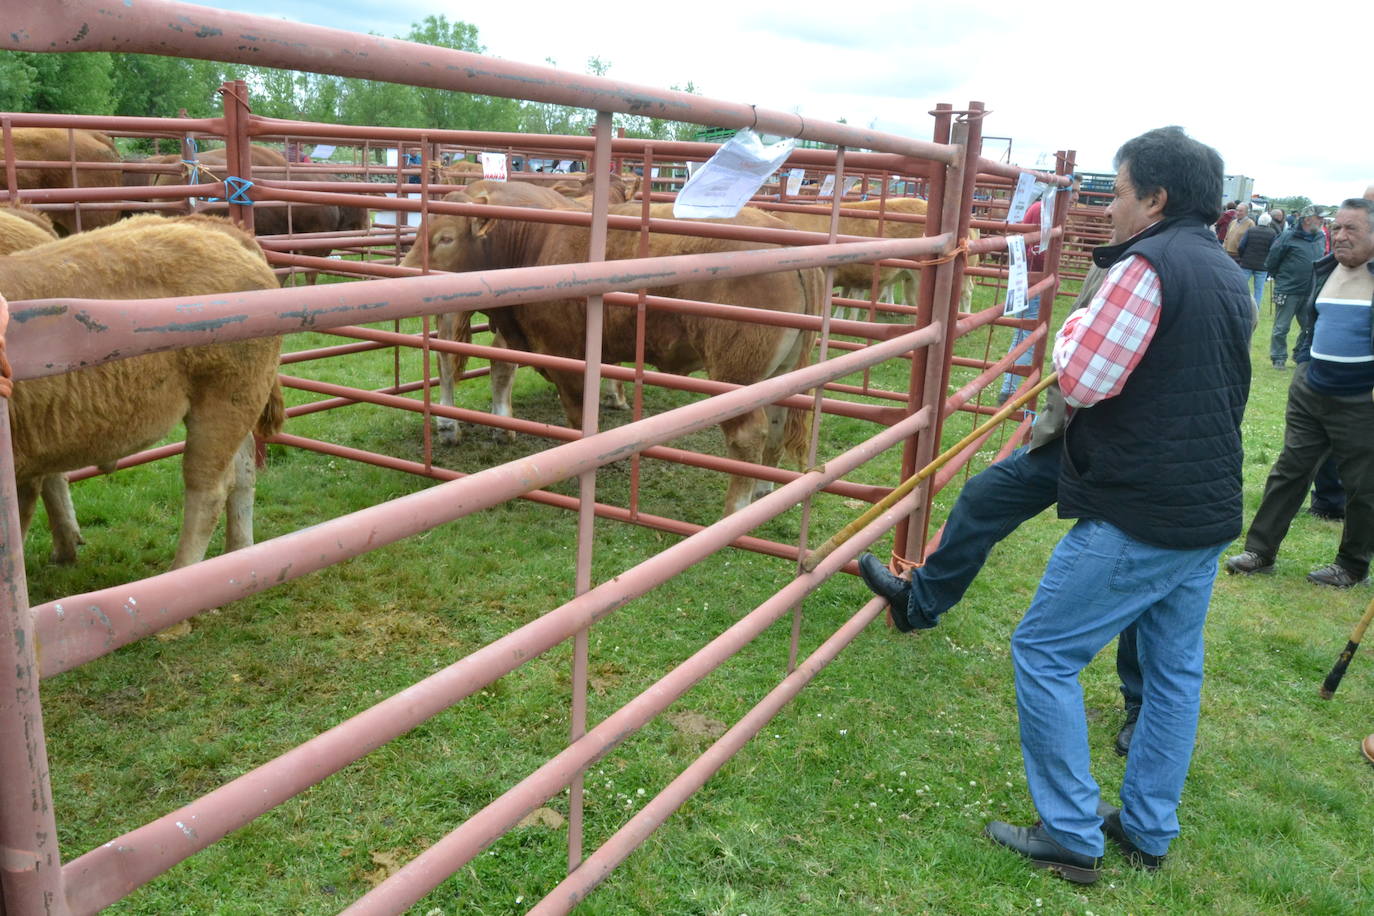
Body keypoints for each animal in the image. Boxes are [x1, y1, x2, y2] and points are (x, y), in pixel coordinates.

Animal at [0, 216, 284, 574]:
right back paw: (240, 554)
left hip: (223, 401)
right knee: (243, 469)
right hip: (236, 401)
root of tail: (221, 231)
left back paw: (183, 572)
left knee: (208, 487)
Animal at [401, 178, 818, 516]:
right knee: (777, 421)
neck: (534, 239)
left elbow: (578, 415)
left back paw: (735, 510)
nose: (404, 272)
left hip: (735, 372)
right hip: (780, 372)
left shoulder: (566, 355)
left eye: (446, 237)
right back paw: (763, 489)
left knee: (748, 434)